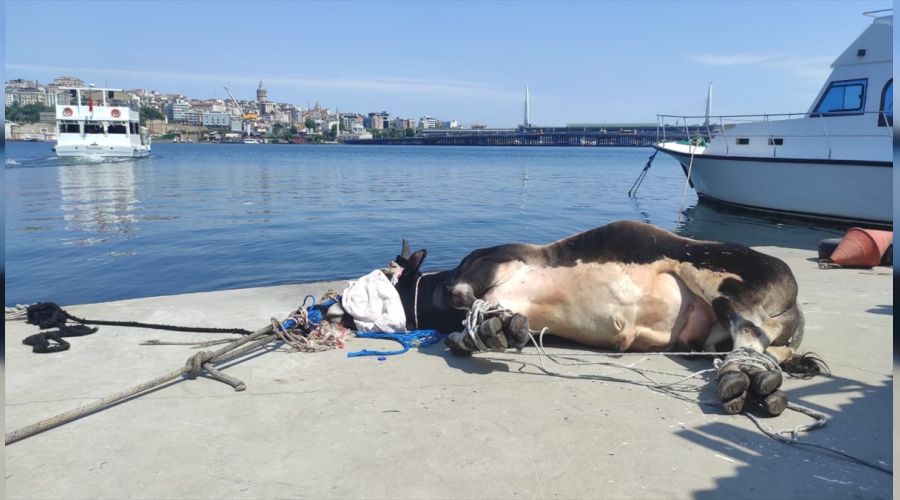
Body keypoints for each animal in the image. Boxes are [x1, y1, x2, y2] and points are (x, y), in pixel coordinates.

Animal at [384, 221, 828, 416]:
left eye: (388, 274)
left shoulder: (493, 259)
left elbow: (463, 297)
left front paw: (484, 319)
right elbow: (467, 332)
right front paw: (494, 329)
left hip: (722, 285)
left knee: (751, 336)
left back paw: (745, 377)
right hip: (710, 337)